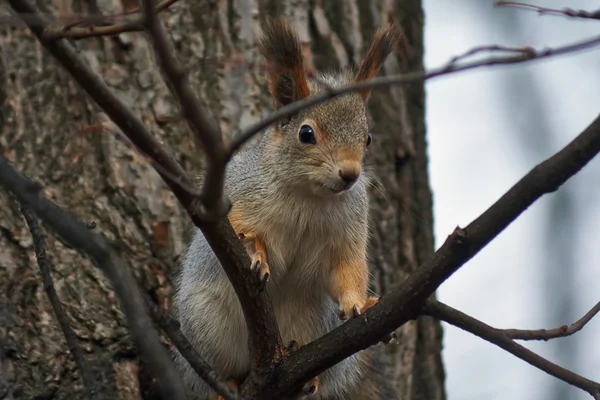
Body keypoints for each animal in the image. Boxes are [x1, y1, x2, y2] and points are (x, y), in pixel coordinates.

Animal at [173, 16, 404, 400]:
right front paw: (256, 252)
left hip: (315, 323)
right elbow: (237, 226)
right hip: (205, 322)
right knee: (221, 369)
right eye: (306, 133)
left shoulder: (349, 229)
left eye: (367, 137)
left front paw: (357, 303)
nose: (350, 174)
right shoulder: (239, 192)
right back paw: (226, 384)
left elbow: (347, 268)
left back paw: (308, 378)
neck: (309, 196)